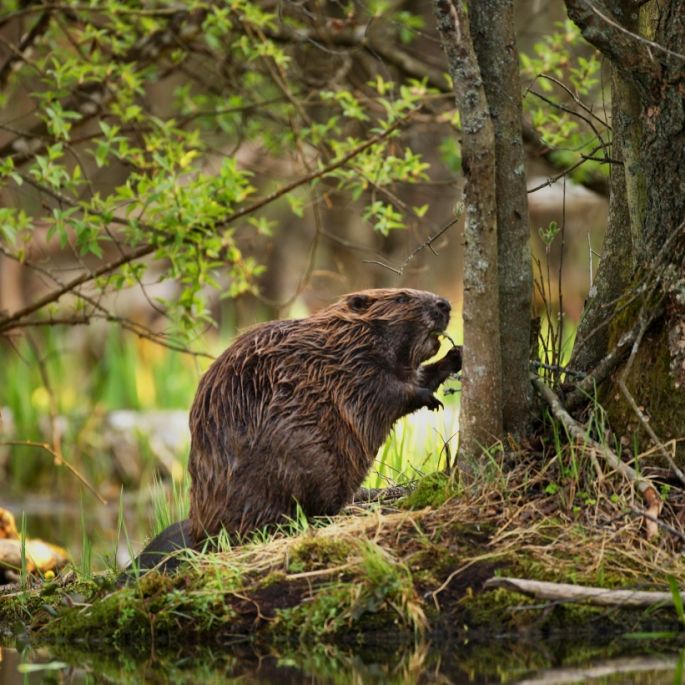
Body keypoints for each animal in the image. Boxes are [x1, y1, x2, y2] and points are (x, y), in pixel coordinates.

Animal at [128, 288, 460, 572]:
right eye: (403, 297)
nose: (445, 304)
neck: (345, 340)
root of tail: (198, 533)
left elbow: (415, 375)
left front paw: (456, 356)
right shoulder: (353, 369)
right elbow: (387, 393)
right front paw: (429, 397)